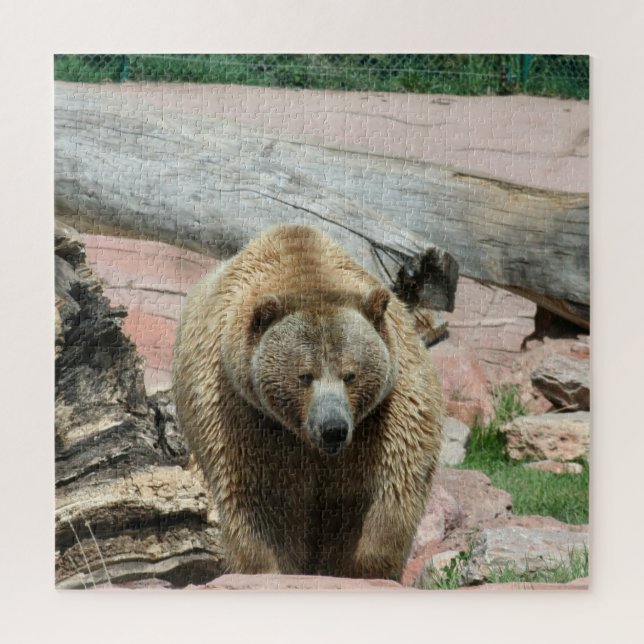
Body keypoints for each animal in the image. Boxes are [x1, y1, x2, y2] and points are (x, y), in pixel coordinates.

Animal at [173, 225, 443, 581]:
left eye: (350, 374)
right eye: (304, 375)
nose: (333, 428)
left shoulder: (386, 414)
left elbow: (388, 488)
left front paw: (365, 567)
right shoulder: (245, 413)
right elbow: (262, 501)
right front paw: (269, 567)